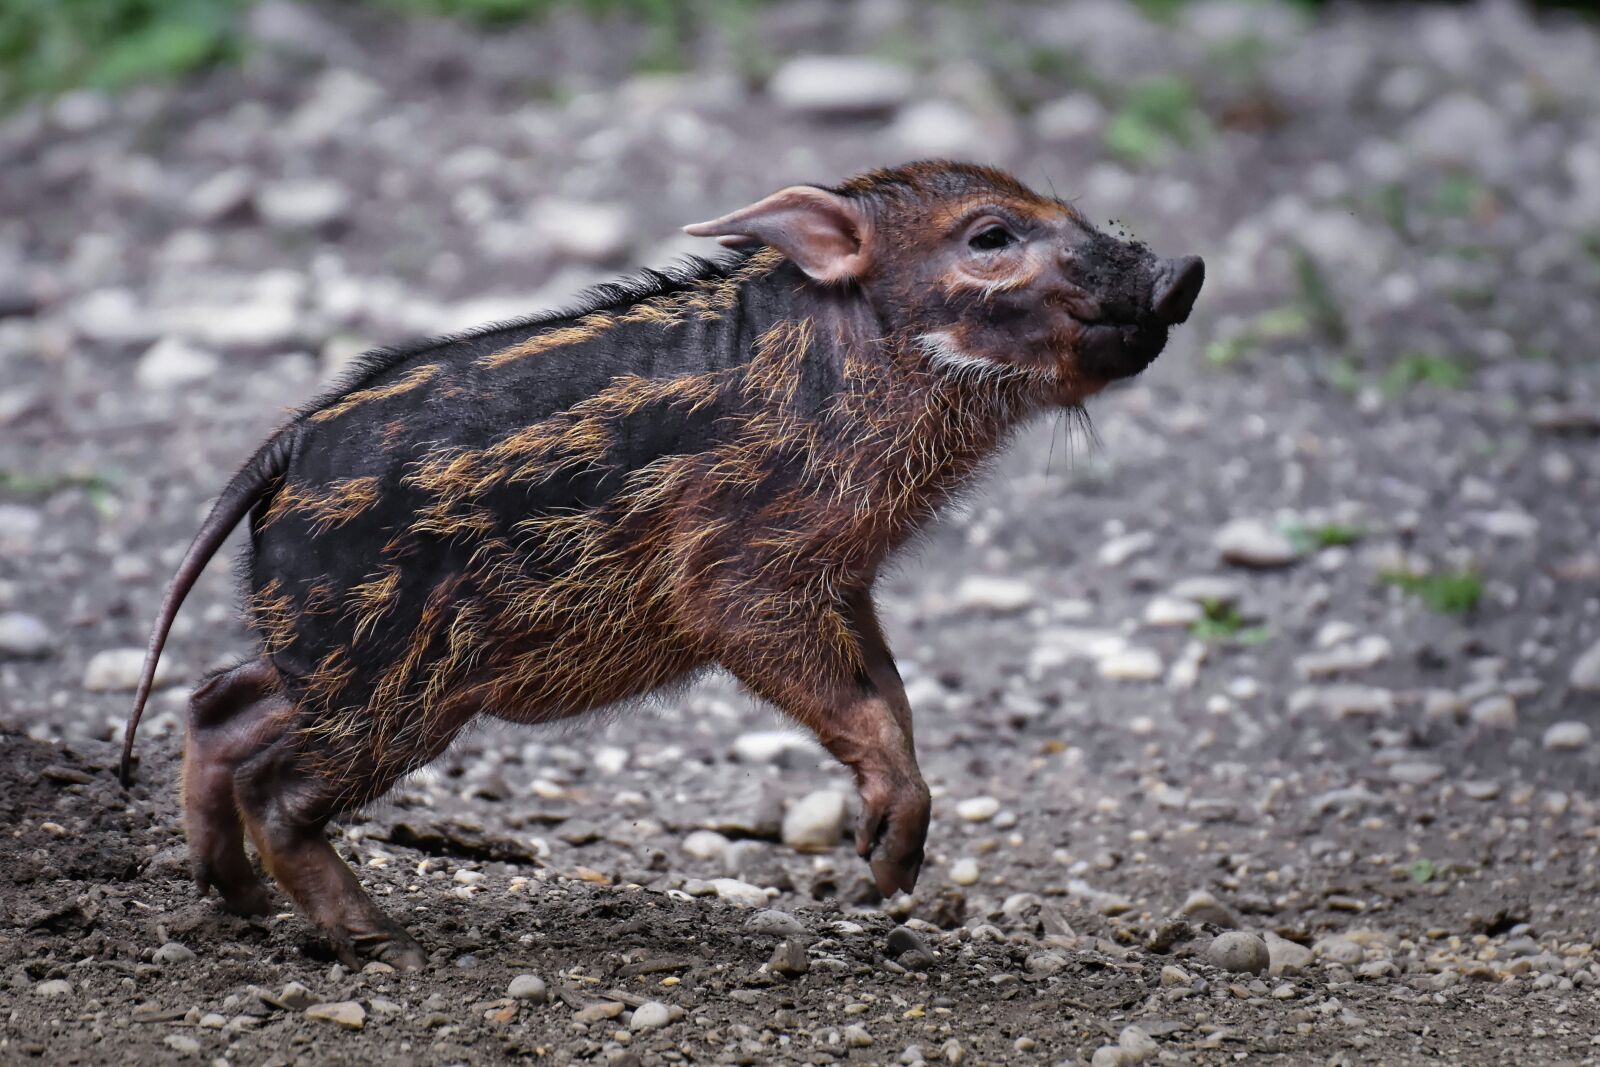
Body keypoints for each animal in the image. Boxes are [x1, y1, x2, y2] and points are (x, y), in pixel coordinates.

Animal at [119, 161, 1203, 969]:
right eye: (989, 237)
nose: (1182, 269)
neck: (861, 376)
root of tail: (285, 448)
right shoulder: (739, 575)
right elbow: (848, 698)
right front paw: (887, 863)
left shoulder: (842, 579)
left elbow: (890, 695)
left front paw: (890, 868)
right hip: (389, 681)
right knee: (276, 785)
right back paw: (381, 938)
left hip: (333, 657)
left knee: (219, 701)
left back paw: (241, 901)